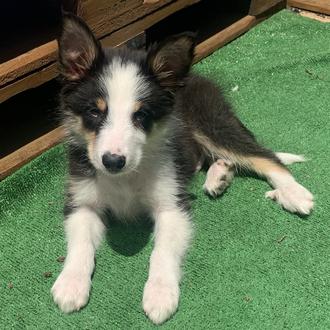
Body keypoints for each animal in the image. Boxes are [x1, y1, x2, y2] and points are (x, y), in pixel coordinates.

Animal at [51, 14, 314, 324]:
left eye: (141, 115)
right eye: (94, 112)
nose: (113, 162)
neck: (126, 178)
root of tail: (194, 77)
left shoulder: (172, 205)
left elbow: (162, 252)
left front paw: (160, 294)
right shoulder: (82, 201)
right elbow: (79, 244)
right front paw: (70, 284)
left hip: (212, 123)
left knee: (265, 156)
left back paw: (293, 193)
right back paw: (219, 175)